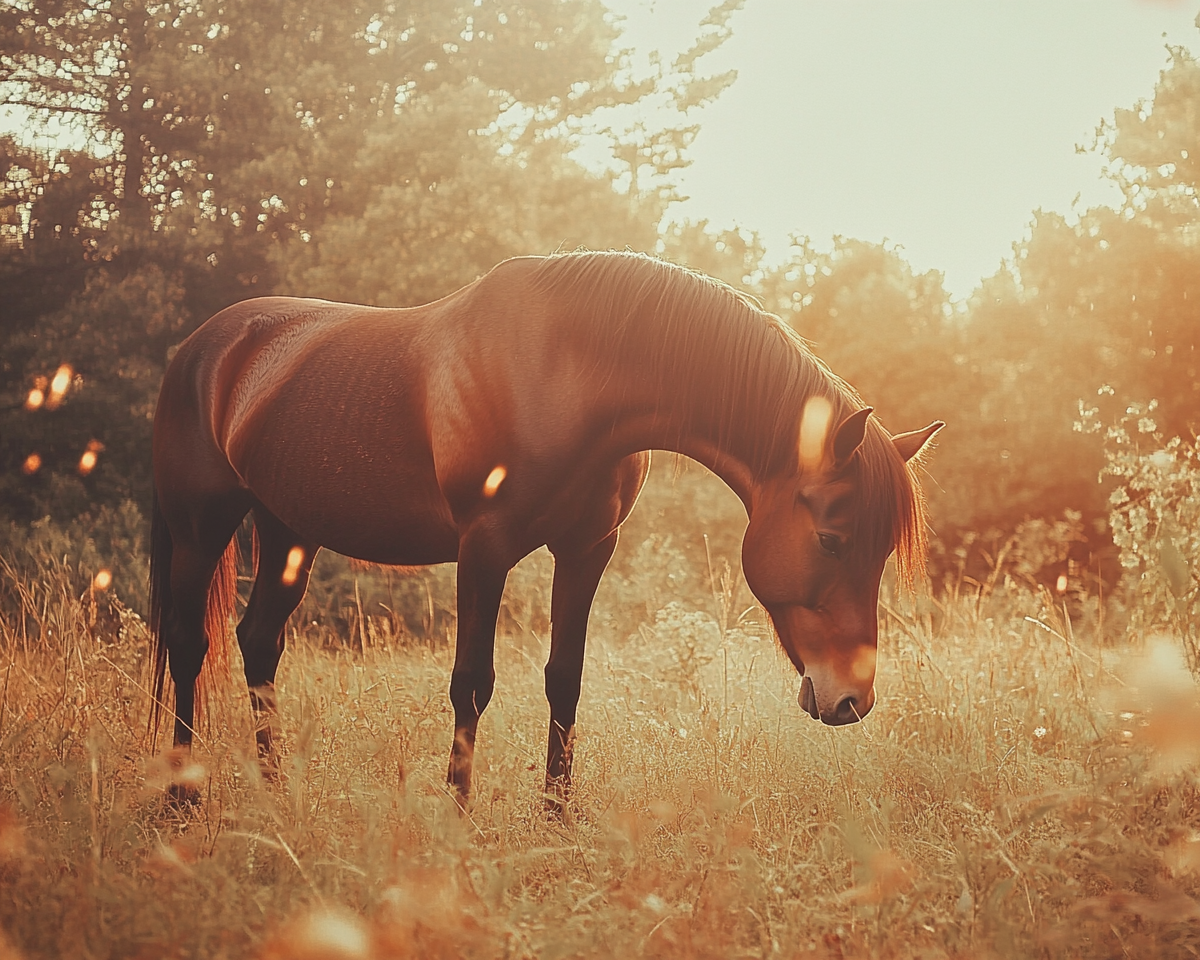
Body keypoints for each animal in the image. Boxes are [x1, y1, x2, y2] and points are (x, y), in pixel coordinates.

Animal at [147, 249, 936, 801]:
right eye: (832, 541)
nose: (852, 699)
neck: (566, 371)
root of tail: (203, 348)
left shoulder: (586, 550)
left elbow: (566, 678)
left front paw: (557, 815)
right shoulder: (483, 548)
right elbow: (472, 683)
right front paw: (459, 816)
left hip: (288, 529)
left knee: (259, 643)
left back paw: (276, 790)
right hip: (202, 523)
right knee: (189, 645)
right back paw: (182, 799)